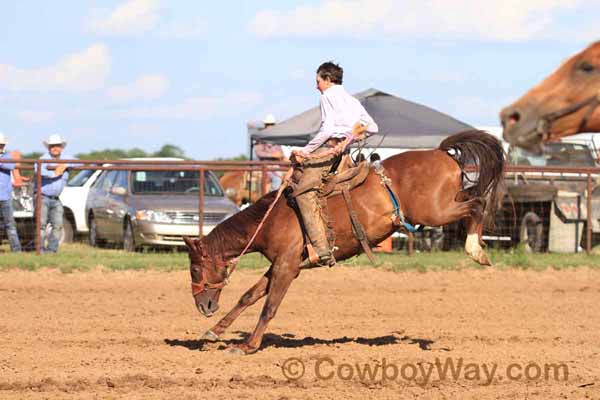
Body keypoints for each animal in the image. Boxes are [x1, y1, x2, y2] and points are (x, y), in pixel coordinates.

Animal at [184, 130, 506, 354]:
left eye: (195, 269)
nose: (203, 306)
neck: (271, 218)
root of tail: (440, 153)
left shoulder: (287, 267)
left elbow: (270, 306)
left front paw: (248, 346)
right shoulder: (281, 264)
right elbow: (249, 296)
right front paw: (213, 331)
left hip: (436, 211)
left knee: (477, 205)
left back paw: (476, 250)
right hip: (446, 203)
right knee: (474, 199)